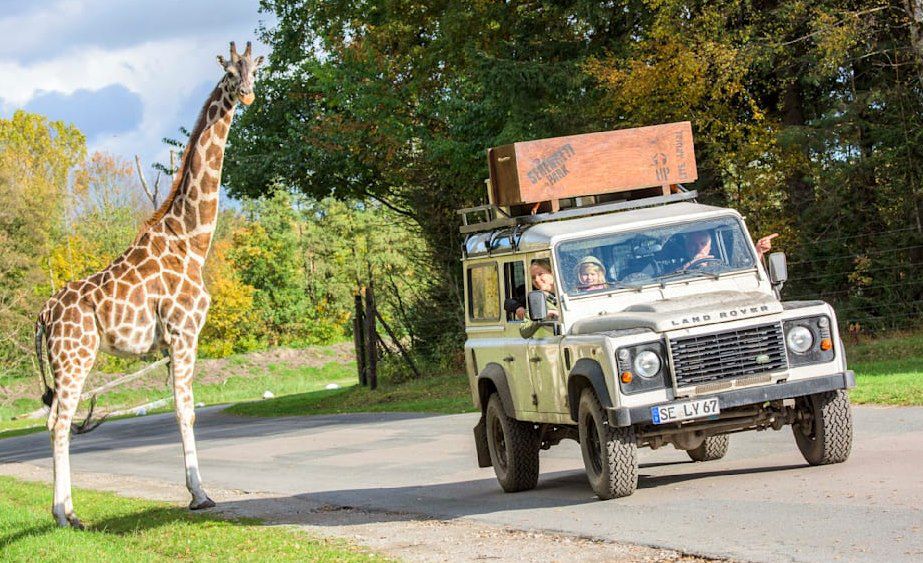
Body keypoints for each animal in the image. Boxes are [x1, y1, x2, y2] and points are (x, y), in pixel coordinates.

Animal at [33, 40, 264, 528]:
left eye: (256, 68)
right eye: (229, 72)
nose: (248, 94)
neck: (192, 239)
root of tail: (43, 315)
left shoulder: (171, 341)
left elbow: (181, 408)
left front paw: (197, 492)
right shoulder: (183, 331)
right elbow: (185, 410)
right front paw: (200, 495)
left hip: (68, 362)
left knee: (54, 420)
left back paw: (68, 512)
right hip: (75, 357)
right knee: (60, 421)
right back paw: (64, 515)